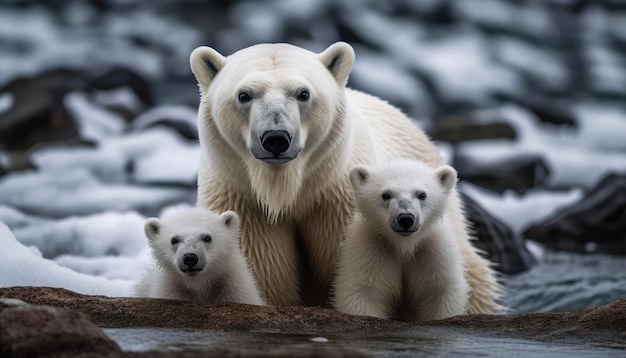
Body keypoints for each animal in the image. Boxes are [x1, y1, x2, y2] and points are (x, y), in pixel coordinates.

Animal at [134, 207, 264, 304]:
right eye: (174, 240)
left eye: (207, 238)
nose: (190, 258)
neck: (199, 284)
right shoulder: (171, 290)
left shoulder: (234, 288)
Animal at [332, 161, 468, 320]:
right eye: (386, 195)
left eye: (422, 194)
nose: (406, 219)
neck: (403, 245)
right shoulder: (372, 249)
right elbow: (364, 292)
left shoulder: (432, 250)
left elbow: (440, 289)